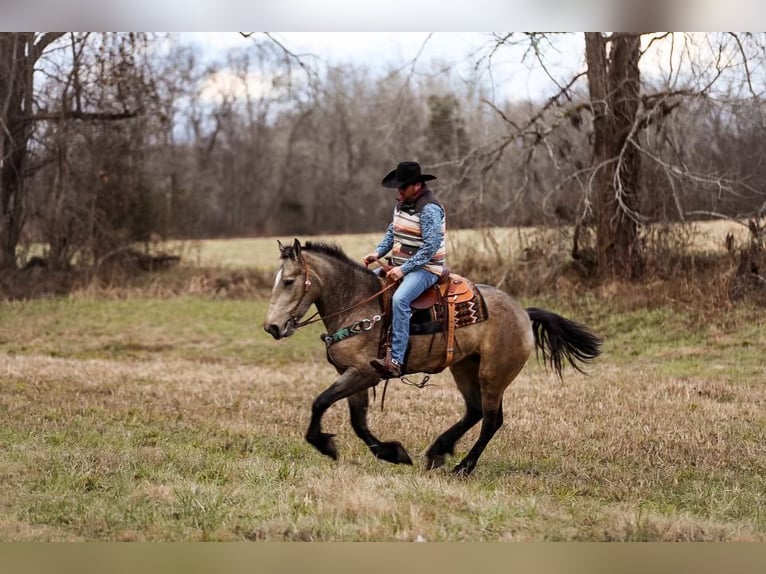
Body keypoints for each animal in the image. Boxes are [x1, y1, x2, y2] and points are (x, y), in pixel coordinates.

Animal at [264, 238, 608, 476]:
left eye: (289, 281)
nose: (272, 327)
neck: (358, 304)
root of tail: (523, 312)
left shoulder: (364, 373)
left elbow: (321, 402)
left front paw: (326, 443)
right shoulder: (352, 374)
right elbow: (357, 421)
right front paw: (392, 453)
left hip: (493, 375)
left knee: (491, 420)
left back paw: (463, 467)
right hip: (465, 368)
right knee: (474, 412)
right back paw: (438, 452)